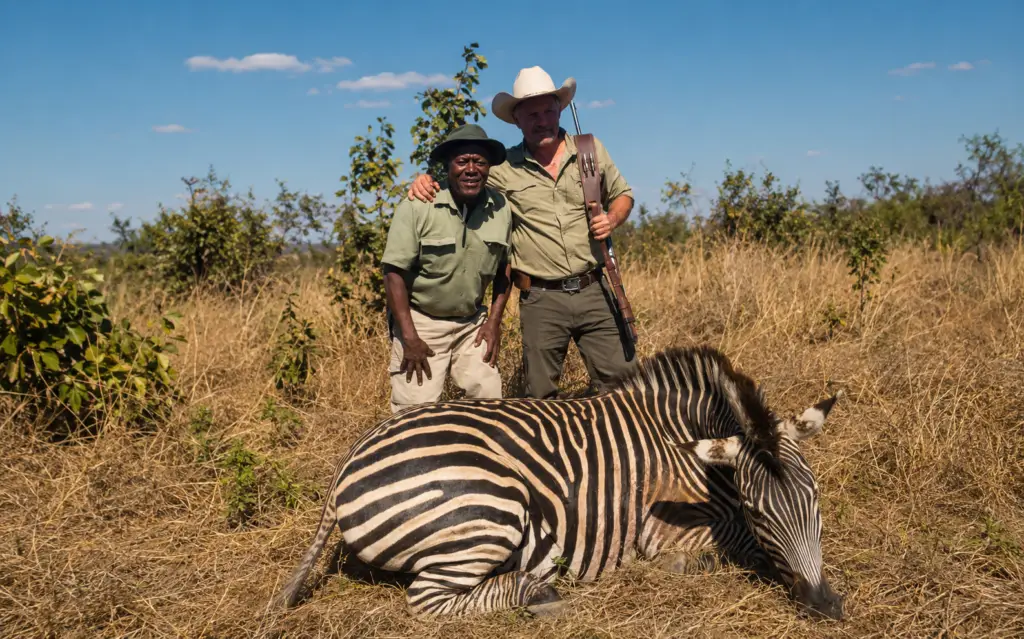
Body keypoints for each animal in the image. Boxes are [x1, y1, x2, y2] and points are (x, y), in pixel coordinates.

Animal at [273, 345, 845, 620]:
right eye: (756, 510)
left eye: (816, 498)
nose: (826, 606)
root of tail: (350, 458)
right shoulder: (663, 531)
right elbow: (726, 548)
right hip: (488, 510)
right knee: (428, 601)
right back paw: (543, 595)